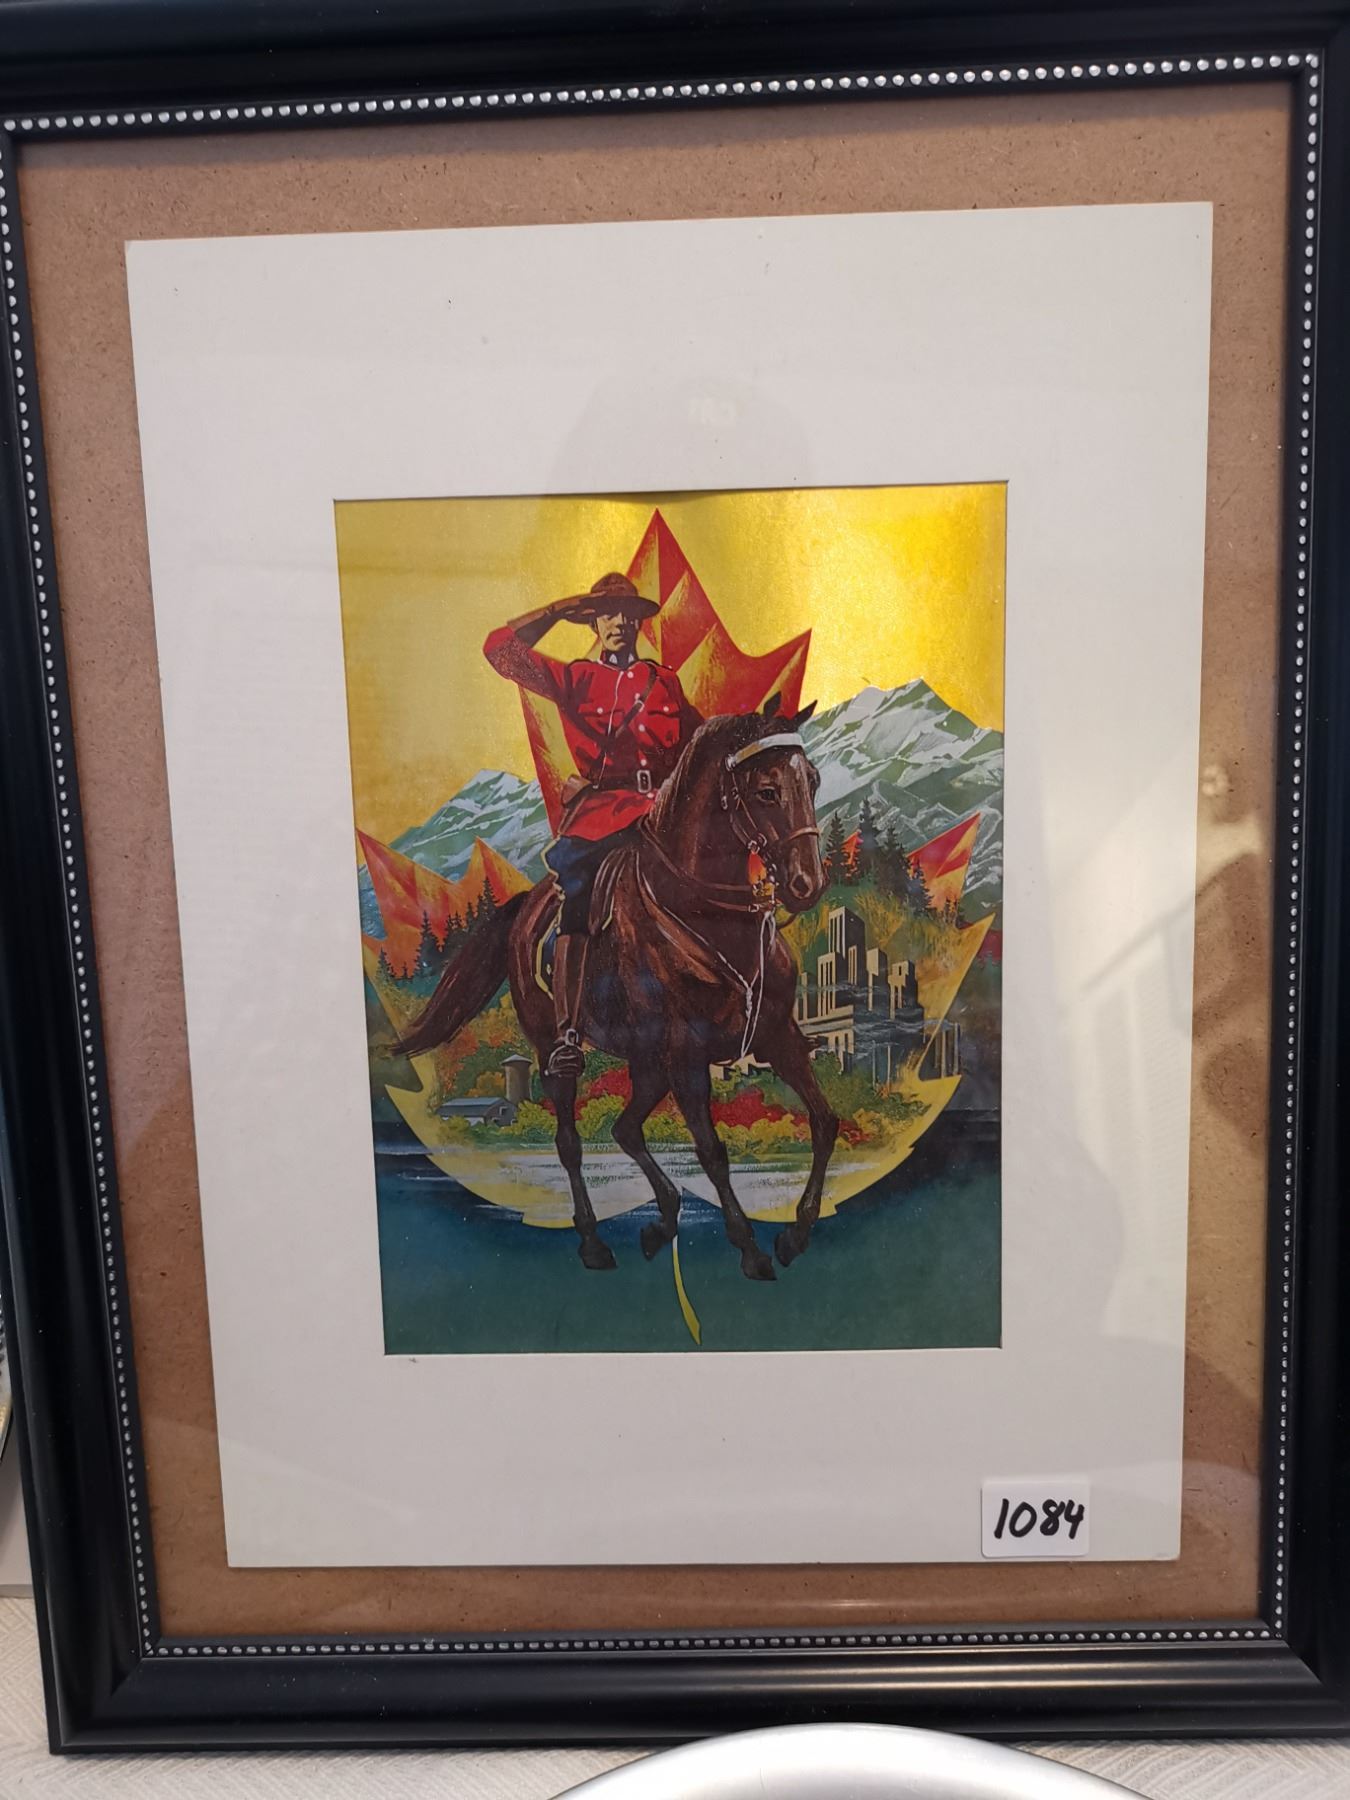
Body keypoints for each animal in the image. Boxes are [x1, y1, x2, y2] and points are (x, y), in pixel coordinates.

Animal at [396, 700, 840, 1280]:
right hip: (557, 1049)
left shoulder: (777, 1036)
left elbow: (825, 1121)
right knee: (569, 1141)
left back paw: (663, 1219)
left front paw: (796, 1233)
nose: (807, 885)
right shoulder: (687, 1056)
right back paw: (593, 1241)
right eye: (766, 790)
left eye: (812, 780)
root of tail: (527, 906)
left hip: (647, 1061)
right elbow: (713, 1151)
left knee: (627, 1129)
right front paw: (749, 1247)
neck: (710, 912)